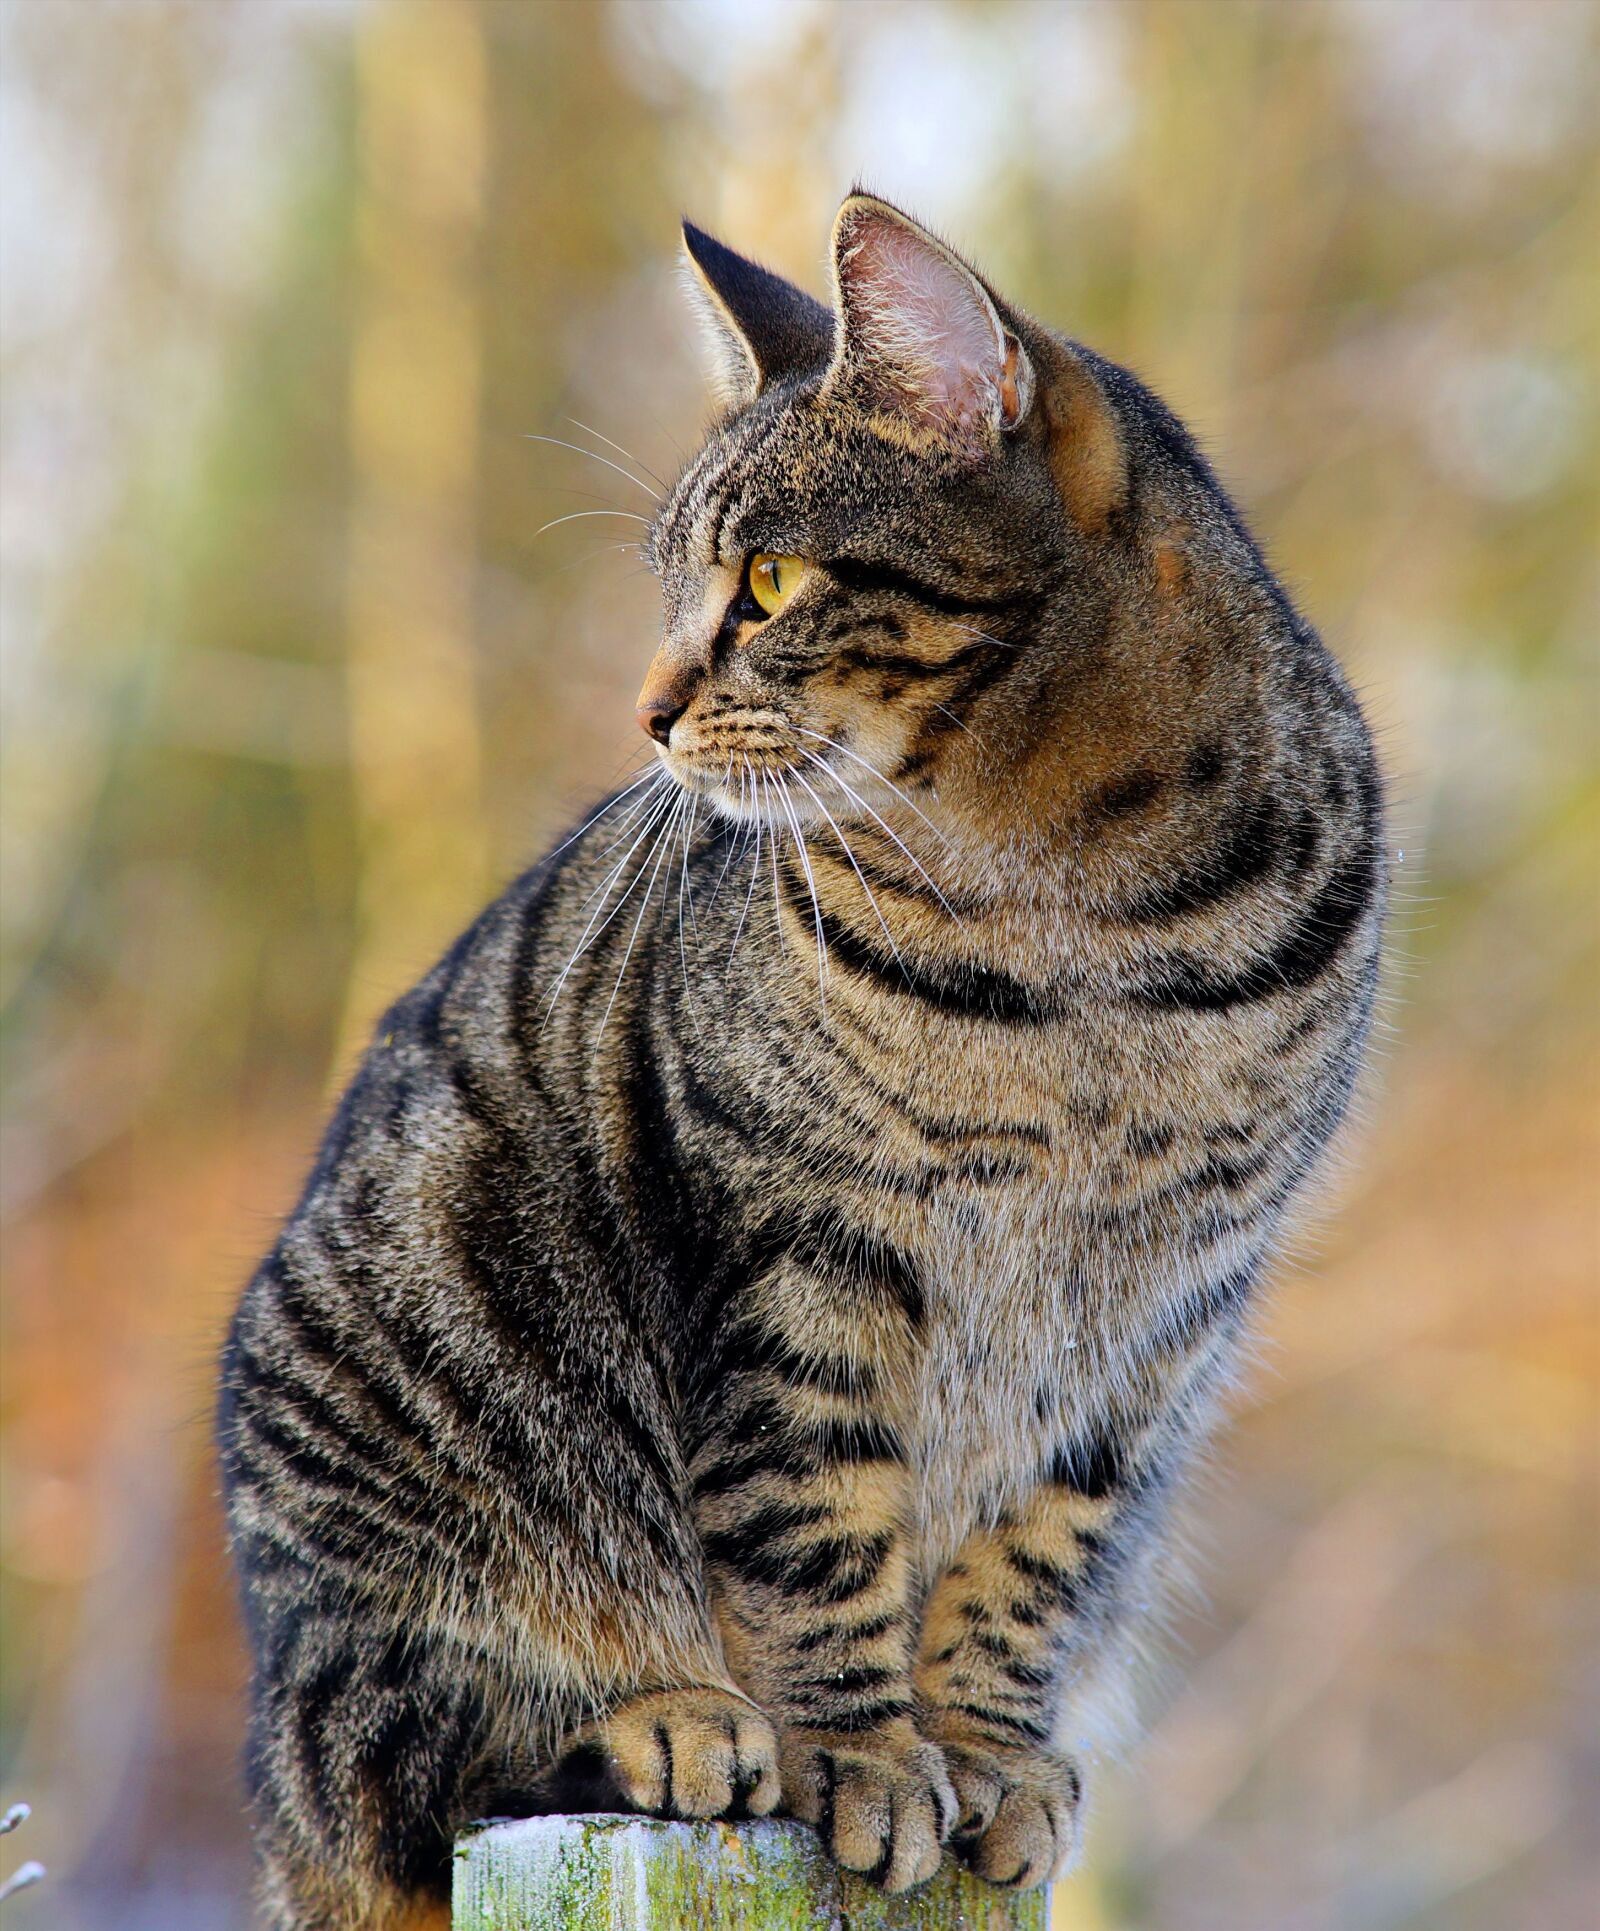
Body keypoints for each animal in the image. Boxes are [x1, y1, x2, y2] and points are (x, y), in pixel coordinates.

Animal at [218, 184, 1381, 1931]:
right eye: (675, 586)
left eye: (765, 579)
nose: (644, 707)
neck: (1092, 926)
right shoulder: (798, 1246)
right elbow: (816, 1521)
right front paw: (865, 1755)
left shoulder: (1157, 1312)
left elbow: (1035, 1554)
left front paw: (982, 1748)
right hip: (394, 1464)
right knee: (413, 1744)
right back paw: (670, 1717)